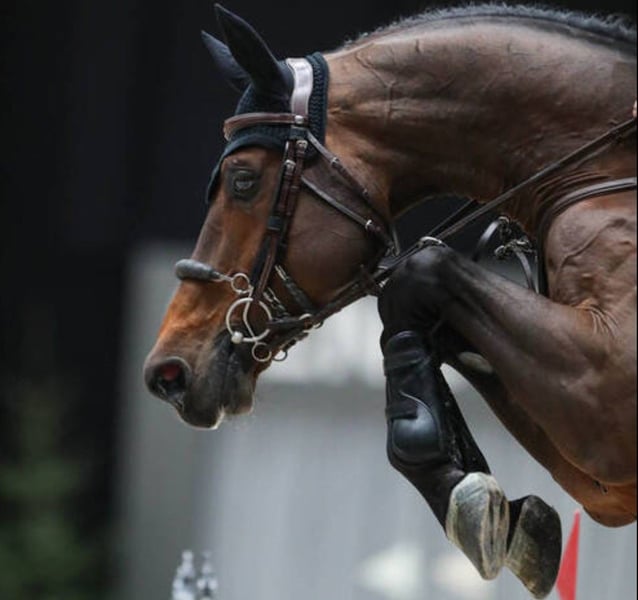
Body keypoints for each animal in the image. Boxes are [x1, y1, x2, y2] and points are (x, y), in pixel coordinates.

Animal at [143, 3, 636, 596]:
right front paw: (475, 495)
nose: (168, 373)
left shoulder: (608, 387)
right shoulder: (606, 477)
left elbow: (417, 273)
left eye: (242, 180)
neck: (603, 167)